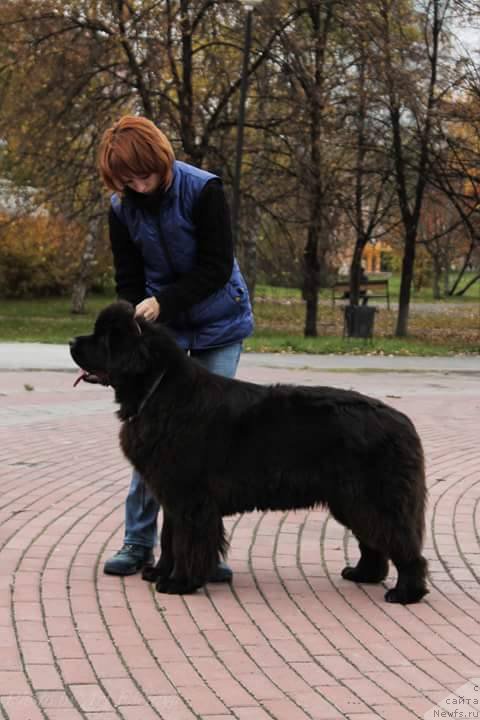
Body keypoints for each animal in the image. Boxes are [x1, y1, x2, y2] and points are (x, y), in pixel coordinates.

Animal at [70, 300, 428, 604]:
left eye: (106, 338)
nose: (72, 341)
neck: (158, 393)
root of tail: (403, 422)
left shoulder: (190, 499)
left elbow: (186, 541)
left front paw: (179, 583)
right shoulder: (171, 494)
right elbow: (170, 537)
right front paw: (160, 572)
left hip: (373, 499)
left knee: (402, 543)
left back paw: (406, 592)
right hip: (352, 501)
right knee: (375, 541)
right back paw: (364, 574)